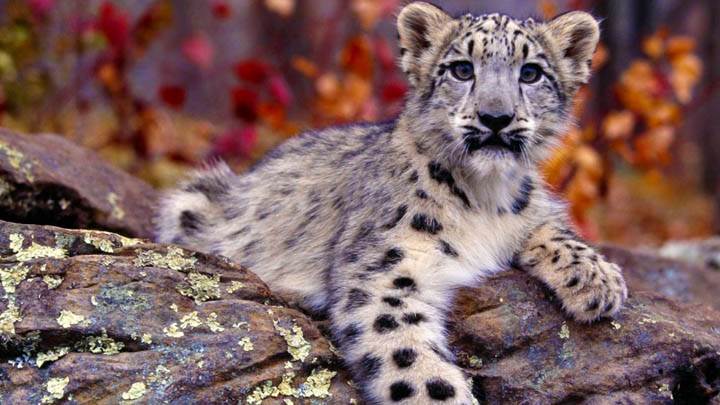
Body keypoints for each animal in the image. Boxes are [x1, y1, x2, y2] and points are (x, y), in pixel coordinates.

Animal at [155, 2, 628, 404]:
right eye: (462, 69)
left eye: (531, 73)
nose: (496, 117)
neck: (485, 197)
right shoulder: (386, 270)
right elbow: (413, 361)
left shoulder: (530, 210)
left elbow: (551, 225)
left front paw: (599, 281)